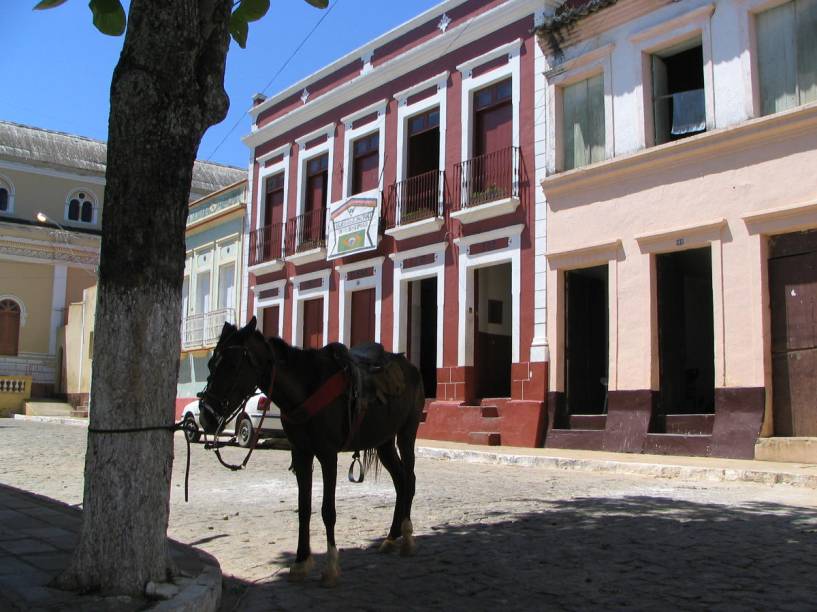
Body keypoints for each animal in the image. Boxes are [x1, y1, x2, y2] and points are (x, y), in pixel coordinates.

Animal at [197, 318, 424, 584]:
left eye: (233, 365)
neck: (305, 388)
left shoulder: (327, 454)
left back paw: (407, 539)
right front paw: (300, 563)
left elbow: (328, 510)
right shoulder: (301, 453)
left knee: (409, 479)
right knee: (400, 481)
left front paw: (331, 568)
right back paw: (390, 537)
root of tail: (409, 366)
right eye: (211, 364)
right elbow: (303, 509)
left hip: (407, 432)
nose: (206, 417)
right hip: (384, 441)